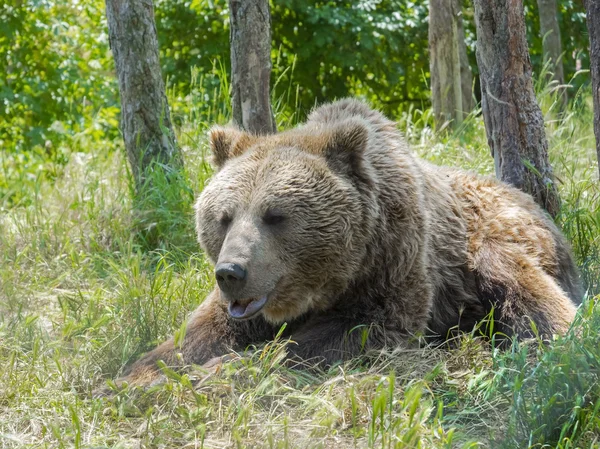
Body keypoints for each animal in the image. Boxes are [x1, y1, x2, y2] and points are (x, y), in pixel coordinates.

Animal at [116, 100, 580, 386]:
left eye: (275, 215)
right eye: (223, 216)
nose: (231, 272)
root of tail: (530, 199)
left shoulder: (393, 265)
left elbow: (335, 337)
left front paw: (216, 371)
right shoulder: (244, 303)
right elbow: (196, 333)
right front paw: (132, 378)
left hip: (492, 242)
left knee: (528, 294)